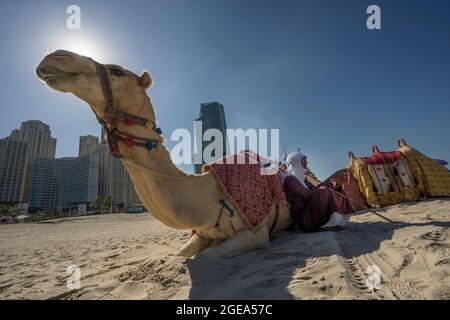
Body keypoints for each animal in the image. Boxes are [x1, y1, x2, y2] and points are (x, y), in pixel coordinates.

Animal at [36, 50, 292, 260]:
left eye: (117, 71)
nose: (54, 57)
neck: (212, 195)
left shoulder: (257, 232)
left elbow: (209, 257)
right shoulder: (200, 233)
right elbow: (181, 255)